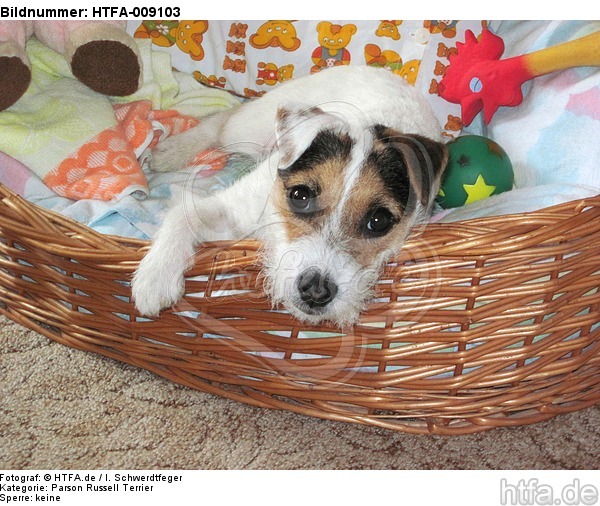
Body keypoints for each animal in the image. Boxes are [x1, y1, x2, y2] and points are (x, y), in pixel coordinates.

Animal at [134, 65, 448, 326]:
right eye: (300, 195)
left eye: (378, 221)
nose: (316, 290)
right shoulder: (233, 208)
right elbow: (181, 215)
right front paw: (155, 276)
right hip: (246, 126)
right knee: (221, 122)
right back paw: (173, 150)